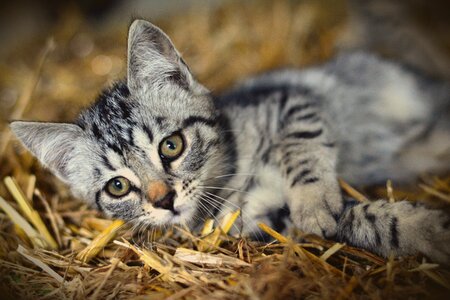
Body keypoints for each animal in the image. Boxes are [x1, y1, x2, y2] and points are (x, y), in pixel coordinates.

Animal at [9, 19, 450, 264]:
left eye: (171, 146)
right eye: (118, 187)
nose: (164, 201)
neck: (235, 178)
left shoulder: (290, 100)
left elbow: (300, 147)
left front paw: (314, 202)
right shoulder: (264, 224)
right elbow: (361, 218)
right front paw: (425, 229)